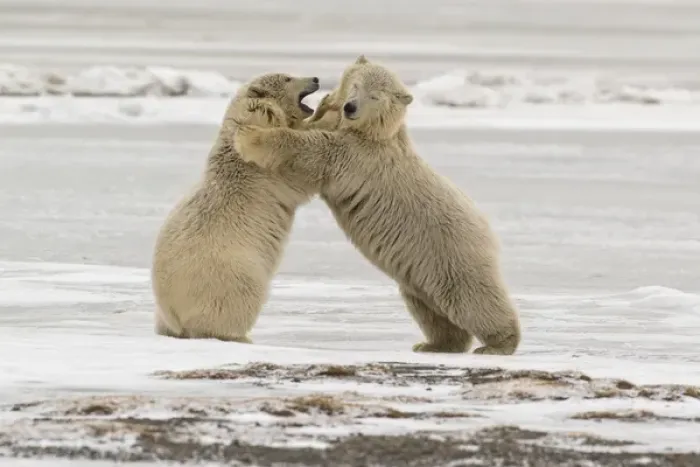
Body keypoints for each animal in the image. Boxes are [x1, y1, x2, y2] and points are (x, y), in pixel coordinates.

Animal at [151, 72, 320, 342]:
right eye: (287, 78)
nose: (315, 78)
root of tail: (173, 311)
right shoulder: (266, 168)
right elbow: (298, 172)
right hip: (233, 276)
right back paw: (240, 336)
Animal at [232, 57, 522, 355]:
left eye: (374, 97)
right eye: (356, 86)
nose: (350, 107)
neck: (376, 133)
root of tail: (487, 230)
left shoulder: (354, 156)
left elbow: (308, 149)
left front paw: (249, 136)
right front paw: (325, 103)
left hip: (450, 252)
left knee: (472, 297)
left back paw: (497, 344)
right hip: (420, 268)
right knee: (428, 306)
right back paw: (434, 344)